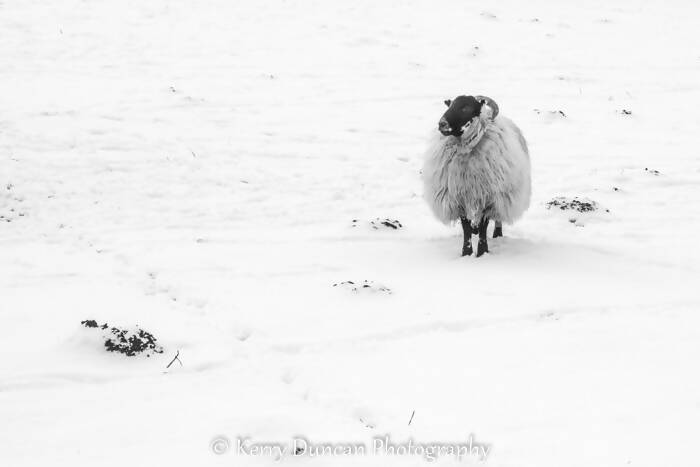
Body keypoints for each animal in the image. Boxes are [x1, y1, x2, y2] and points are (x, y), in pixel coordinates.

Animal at [422, 93, 532, 258]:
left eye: (466, 107)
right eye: (450, 105)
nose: (442, 124)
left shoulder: (489, 198)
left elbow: (483, 227)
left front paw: (482, 252)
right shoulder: (459, 199)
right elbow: (466, 227)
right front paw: (466, 252)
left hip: (502, 197)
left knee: (497, 219)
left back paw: (497, 235)